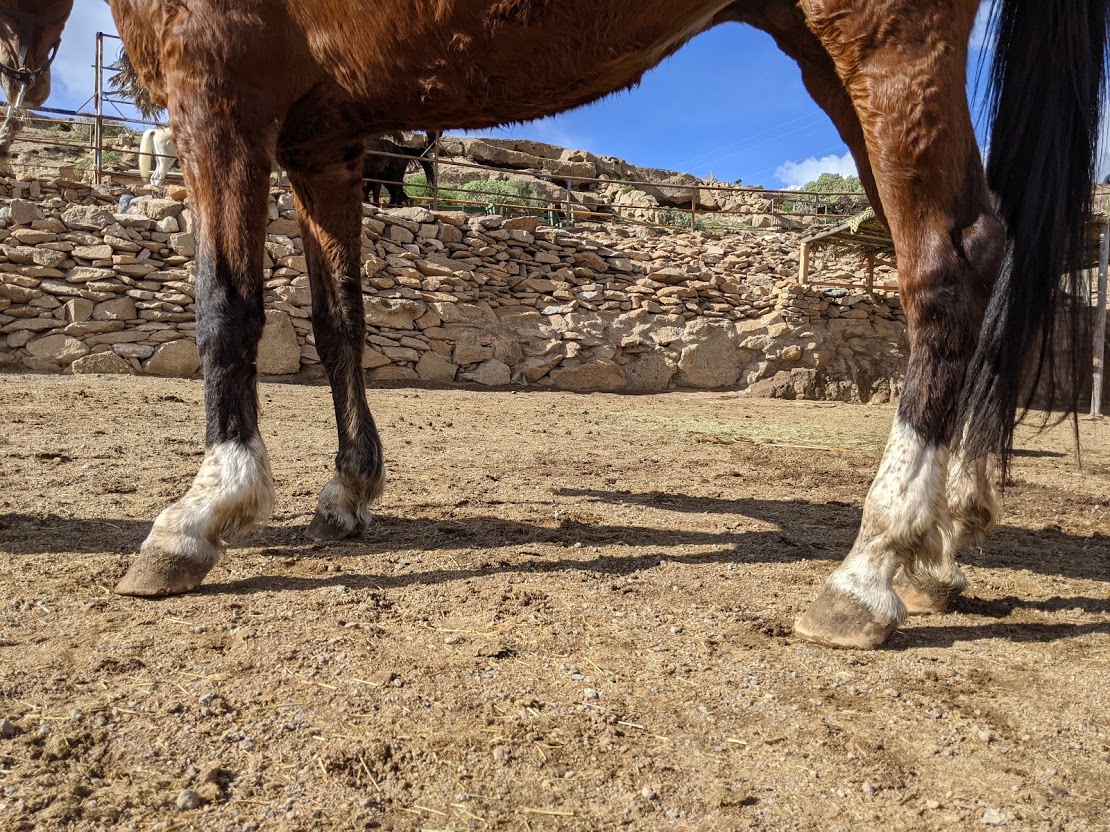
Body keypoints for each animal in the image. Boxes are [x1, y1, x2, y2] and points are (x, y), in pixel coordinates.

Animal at [104, 0, 1105, 650]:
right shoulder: (327, 140)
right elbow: (337, 316)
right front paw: (348, 490)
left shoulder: (218, 80)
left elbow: (225, 304)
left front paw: (202, 510)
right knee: (995, 247)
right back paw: (946, 539)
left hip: (884, 34)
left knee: (952, 260)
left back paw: (872, 566)